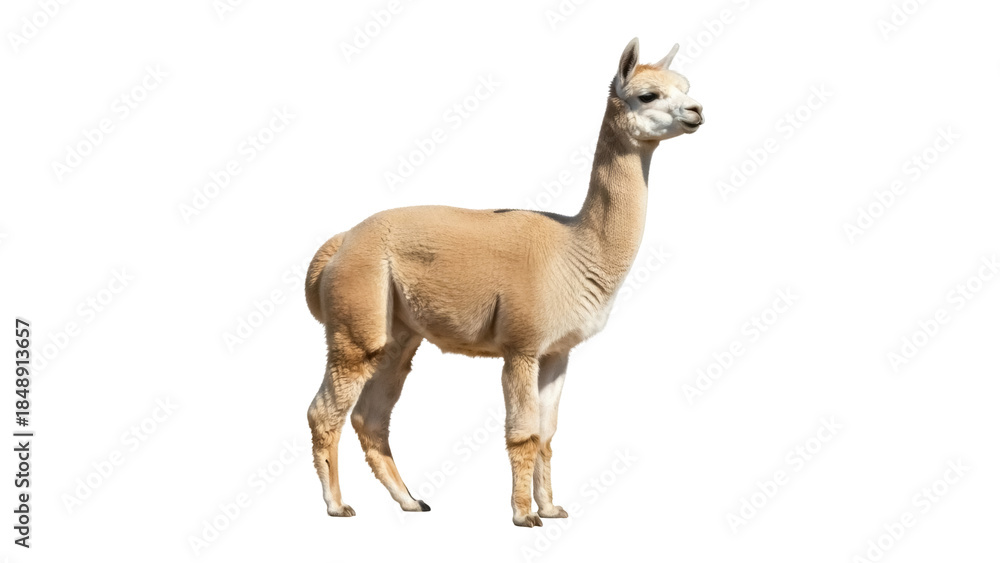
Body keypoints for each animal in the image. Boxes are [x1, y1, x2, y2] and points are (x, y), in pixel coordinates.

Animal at [304, 37, 702, 527]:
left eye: (686, 86)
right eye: (648, 95)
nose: (697, 111)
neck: (575, 247)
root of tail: (341, 241)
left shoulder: (556, 352)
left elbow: (548, 434)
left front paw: (551, 508)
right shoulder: (522, 345)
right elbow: (523, 433)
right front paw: (523, 515)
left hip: (398, 334)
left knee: (371, 418)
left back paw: (411, 500)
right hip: (357, 317)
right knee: (325, 412)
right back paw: (337, 505)